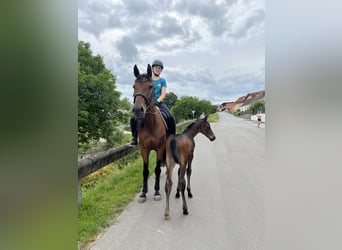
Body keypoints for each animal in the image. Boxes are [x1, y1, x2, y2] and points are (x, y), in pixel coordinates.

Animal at [132, 64, 167, 203]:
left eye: (150, 86)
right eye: (134, 86)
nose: (138, 110)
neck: (151, 125)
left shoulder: (159, 148)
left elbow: (157, 170)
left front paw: (156, 192)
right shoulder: (144, 149)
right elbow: (145, 171)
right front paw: (143, 192)